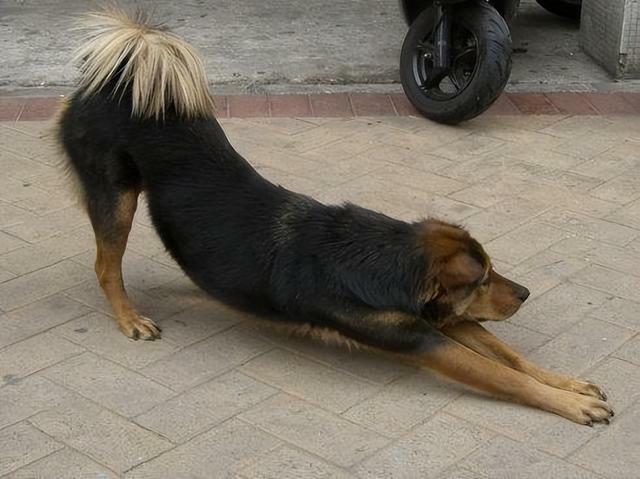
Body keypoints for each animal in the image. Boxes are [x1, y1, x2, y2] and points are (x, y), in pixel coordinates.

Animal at [56, 8, 612, 425]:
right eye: (480, 281)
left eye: (493, 271)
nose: (524, 294)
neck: (384, 258)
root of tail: (116, 76)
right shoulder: (417, 335)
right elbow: (503, 374)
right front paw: (568, 403)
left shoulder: (435, 316)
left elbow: (511, 356)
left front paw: (566, 383)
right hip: (117, 198)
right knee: (106, 266)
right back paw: (130, 318)